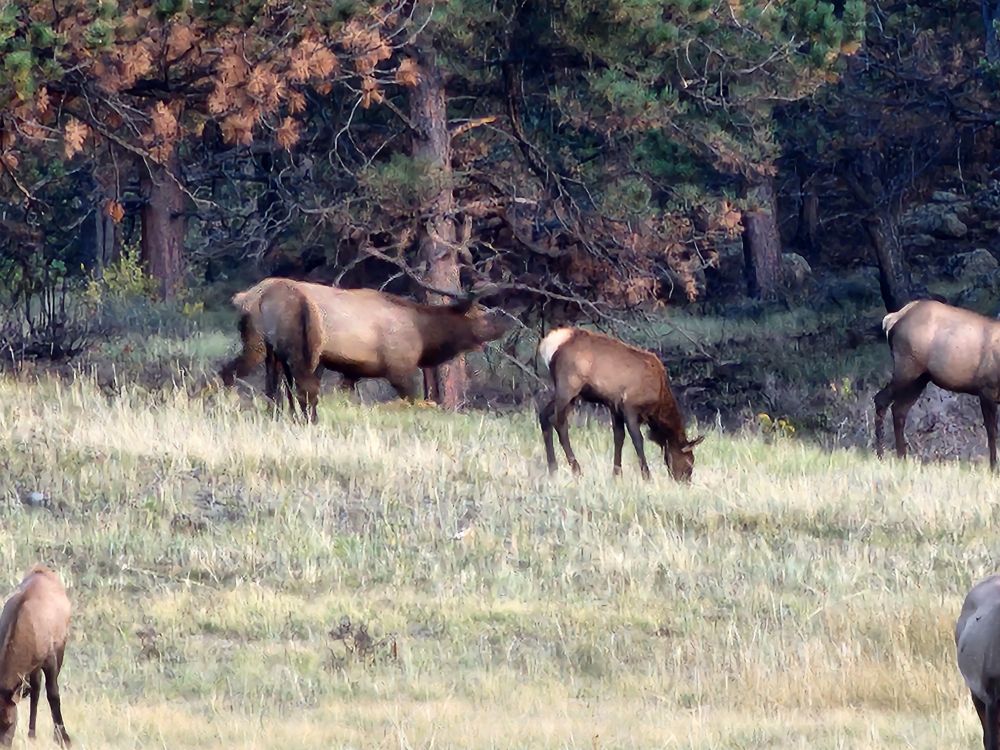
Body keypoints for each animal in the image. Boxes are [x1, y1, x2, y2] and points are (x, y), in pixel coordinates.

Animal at [0, 565, 72, 748]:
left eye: (10, 723)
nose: (4, 746)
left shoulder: (50, 659)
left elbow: (53, 694)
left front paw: (63, 738)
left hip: (61, 645)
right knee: (36, 689)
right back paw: (32, 733)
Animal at [219, 277, 511, 421]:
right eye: (482, 314)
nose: (507, 321)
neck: (425, 337)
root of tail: (241, 297)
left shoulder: (352, 372)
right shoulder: (400, 369)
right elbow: (413, 401)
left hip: (276, 353)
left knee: (275, 388)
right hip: (264, 345)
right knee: (229, 372)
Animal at [537, 327, 704, 481]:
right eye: (690, 461)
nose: (685, 482)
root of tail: (548, 345)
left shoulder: (615, 407)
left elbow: (619, 438)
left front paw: (617, 474)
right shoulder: (629, 406)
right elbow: (637, 440)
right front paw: (647, 476)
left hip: (571, 394)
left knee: (544, 415)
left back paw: (553, 469)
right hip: (569, 386)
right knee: (558, 421)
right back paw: (576, 470)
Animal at [875, 299, 1000, 470]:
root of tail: (892, 319)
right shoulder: (987, 389)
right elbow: (992, 431)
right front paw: (993, 468)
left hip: (920, 378)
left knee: (899, 409)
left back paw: (902, 458)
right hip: (907, 368)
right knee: (881, 400)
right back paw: (881, 456)